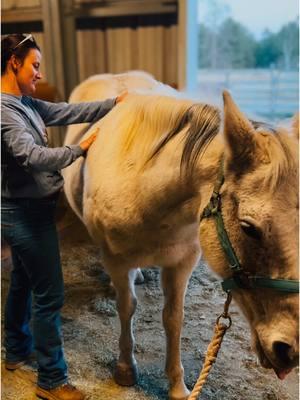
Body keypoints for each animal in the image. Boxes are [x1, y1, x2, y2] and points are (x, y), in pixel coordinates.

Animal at [63, 70, 298, 398]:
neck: (144, 191)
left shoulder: (181, 263)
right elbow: (127, 308)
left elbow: (173, 319)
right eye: (248, 228)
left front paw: (177, 385)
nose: (291, 350)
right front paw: (125, 369)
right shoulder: (117, 261)